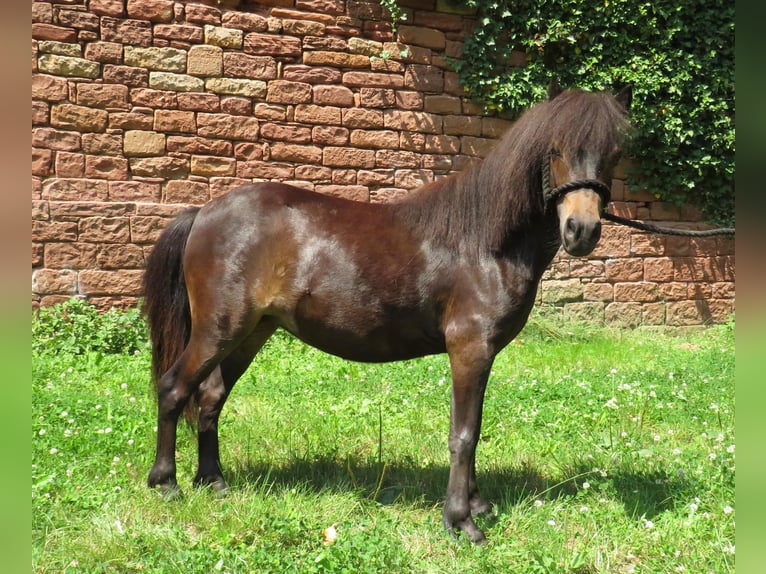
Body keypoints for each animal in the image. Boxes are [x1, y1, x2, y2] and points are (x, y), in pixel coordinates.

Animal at [147, 82, 632, 544]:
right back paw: (166, 483)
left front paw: (477, 505)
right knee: (174, 389)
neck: (483, 242)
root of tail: (203, 212)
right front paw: (462, 522)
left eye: (614, 153)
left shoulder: (482, 354)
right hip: (218, 330)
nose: (582, 231)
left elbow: (471, 429)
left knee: (210, 397)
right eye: (555, 150)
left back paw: (213, 481)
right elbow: (464, 434)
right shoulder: (469, 348)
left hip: (251, 333)